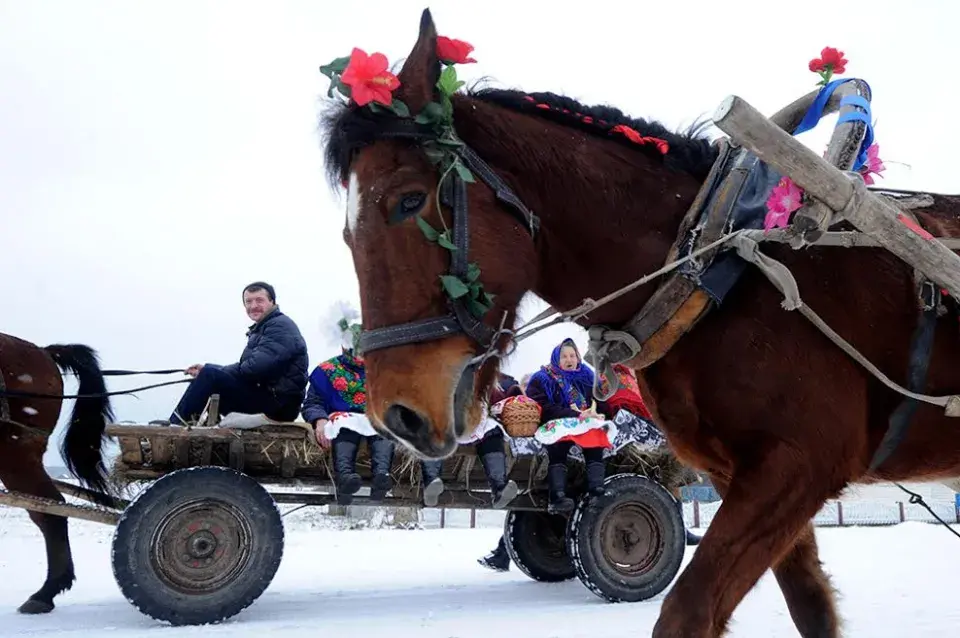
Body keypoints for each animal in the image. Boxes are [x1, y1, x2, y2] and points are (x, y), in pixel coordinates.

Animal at [320, 8, 960, 636]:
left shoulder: (798, 464)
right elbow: (810, 609)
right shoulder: (742, 476)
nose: (396, 414)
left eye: (408, 200)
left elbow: (687, 612)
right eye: (347, 235)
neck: (719, 274)